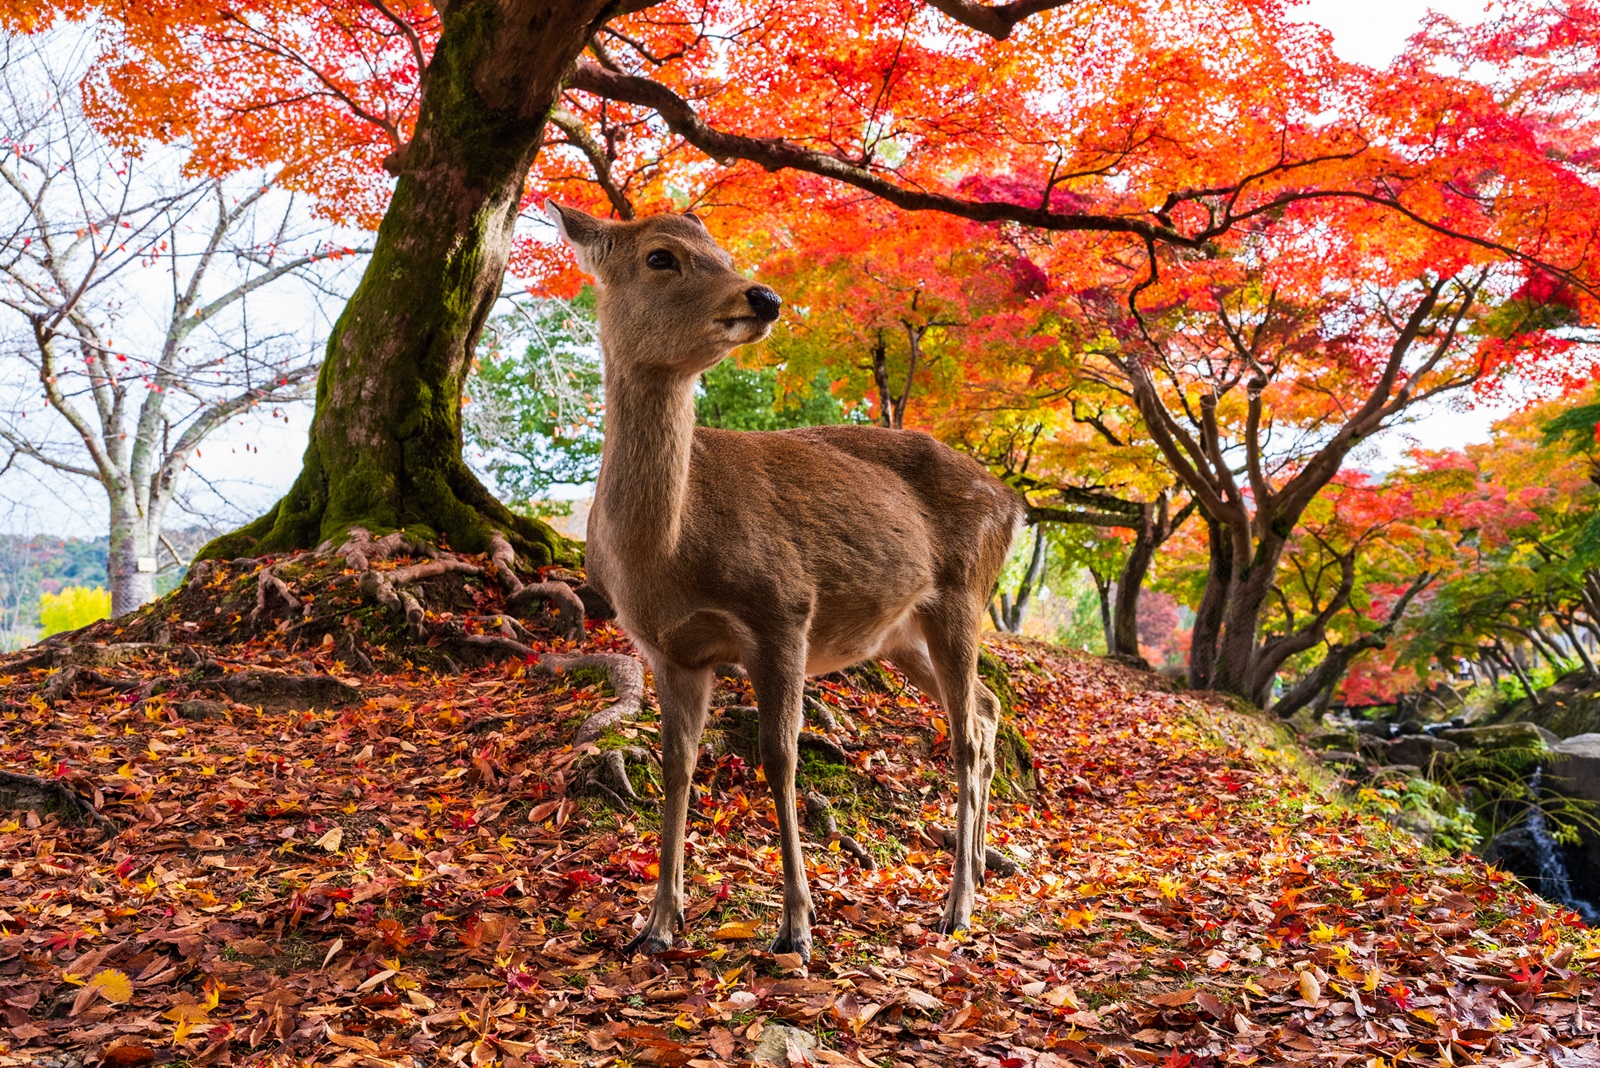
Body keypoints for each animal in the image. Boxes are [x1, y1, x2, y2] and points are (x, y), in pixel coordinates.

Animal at [547, 199, 1024, 959]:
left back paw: (958, 908)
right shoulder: (666, 649)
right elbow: (678, 762)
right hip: (903, 635)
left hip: (964, 596)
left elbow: (779, 755)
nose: (764, 296)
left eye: (720, 249)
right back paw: (976, 869)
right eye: (661, 256)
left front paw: (797, 926)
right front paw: (658, 923)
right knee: (986, 706)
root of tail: (1013, 502)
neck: (666, 554)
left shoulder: (784, 612)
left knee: (967, 736)